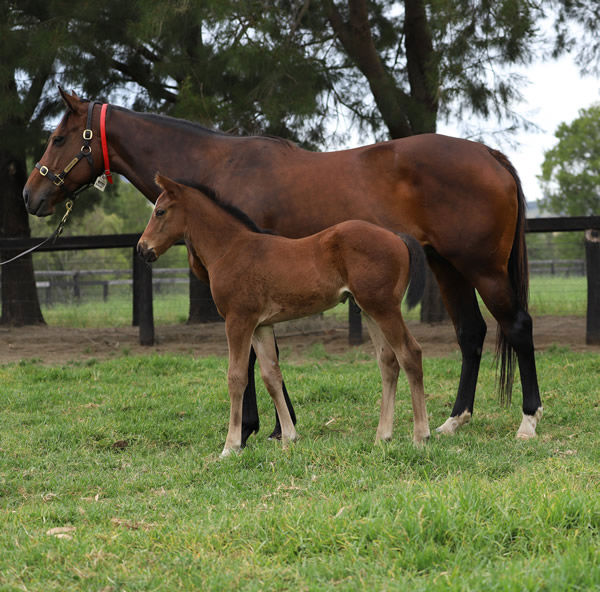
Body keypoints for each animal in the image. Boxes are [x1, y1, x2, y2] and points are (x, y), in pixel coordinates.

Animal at [138, 173, 428, 456]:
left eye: (160, 211)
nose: (142, 249)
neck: (230, 249)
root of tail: (396, 236)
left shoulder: (238, 320)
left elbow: (237, 377)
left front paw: (230, 446)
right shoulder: (261, 326)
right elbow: (271, 376)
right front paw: (289, 437)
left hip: (384, 308)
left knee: (410, 354)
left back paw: (420, 436)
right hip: (369, 310)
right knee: (388, 362)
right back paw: (382, 437)